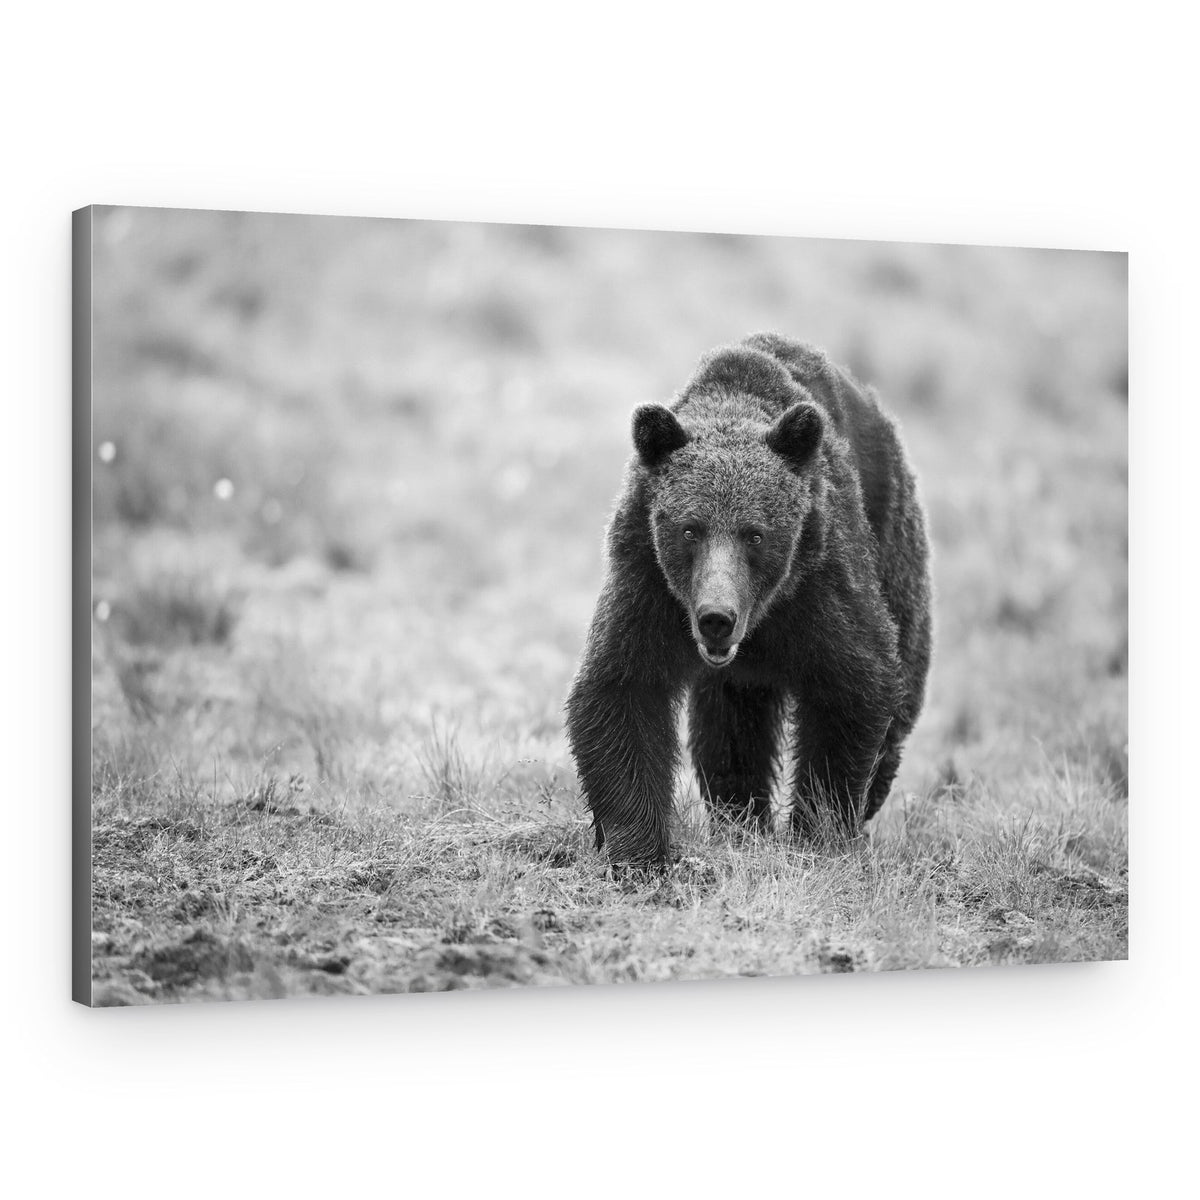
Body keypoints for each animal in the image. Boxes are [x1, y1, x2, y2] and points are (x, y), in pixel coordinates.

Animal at [565, 332, 933, 866]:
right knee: (729, 728)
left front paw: (819, 830)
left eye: (754, 534)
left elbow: (853, 683)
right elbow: (623, 688)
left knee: (902, 682)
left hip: (894, 543)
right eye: (690, 529)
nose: (716, 618)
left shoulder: (820, 578)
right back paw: (740, 815)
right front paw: (640, 849)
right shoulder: (647, 580)